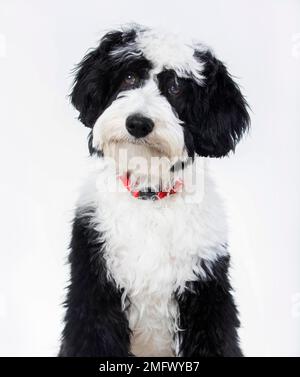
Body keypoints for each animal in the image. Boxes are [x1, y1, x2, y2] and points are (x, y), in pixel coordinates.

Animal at [59, 23, 250, 356]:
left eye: (176, 88)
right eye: (129, 77)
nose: (138, 123)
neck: (149, 198)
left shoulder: (206, 291)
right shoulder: (94, 289)